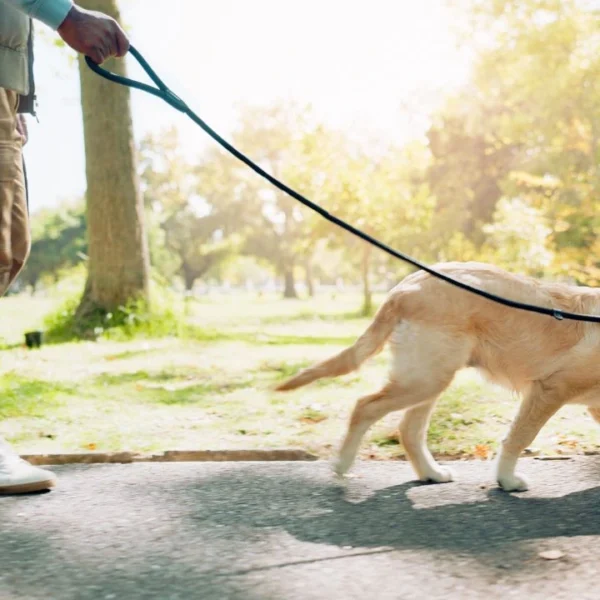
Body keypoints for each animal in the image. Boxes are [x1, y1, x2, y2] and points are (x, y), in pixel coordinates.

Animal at [276, 262, 600, 492]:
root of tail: (404, 287)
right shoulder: (550, 389)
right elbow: (520, 436)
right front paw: (506, 480)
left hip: (430, 377)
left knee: (408, 430)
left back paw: (430, 473)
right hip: (426, 378)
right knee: (365, 407)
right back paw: (342, 464)